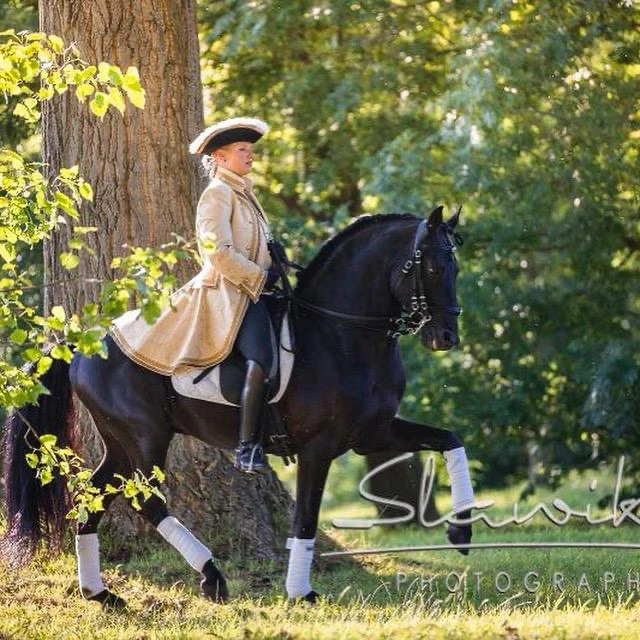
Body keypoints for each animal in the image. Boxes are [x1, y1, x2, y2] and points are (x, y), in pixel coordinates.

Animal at [1, 205, 475, 608]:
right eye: (434, 268)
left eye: (456, 268)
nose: (446, 337)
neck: (340, 334)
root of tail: (79, 345)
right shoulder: (318, 448)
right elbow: (306, 516)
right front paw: (300, 591)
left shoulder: (373, 434)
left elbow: (451, 439)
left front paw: (461, 530)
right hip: (145, 436)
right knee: (147, 504)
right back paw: (211, 577)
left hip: (119, 441)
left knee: (92, 499)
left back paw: (100, 593)